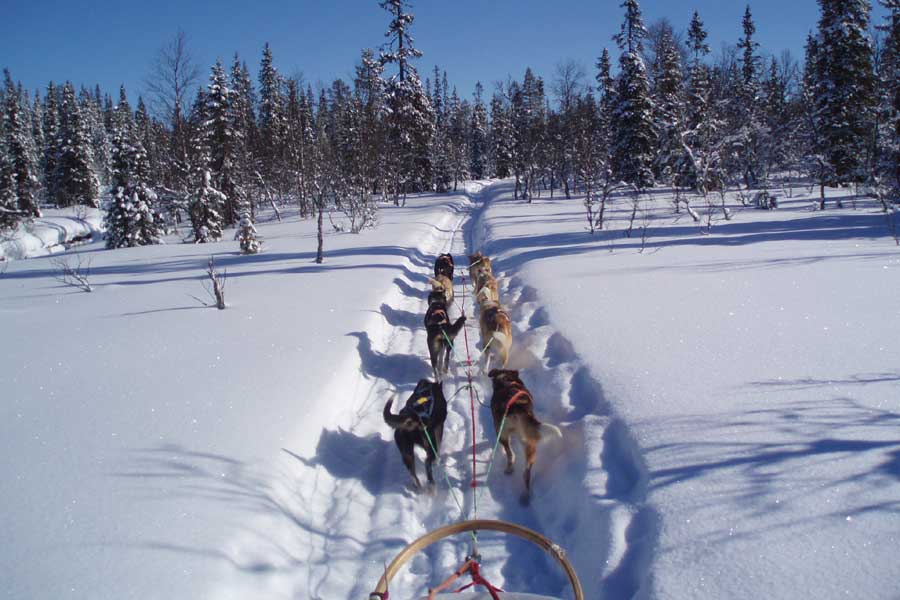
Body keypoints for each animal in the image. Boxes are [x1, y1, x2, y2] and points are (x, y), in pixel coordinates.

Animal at [488, 370, 560, 502]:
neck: (506, 381)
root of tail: (516, 408)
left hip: (502, 433)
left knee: (510, 453)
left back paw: (510, 468)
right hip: (529, 444)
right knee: (526, 473)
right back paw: (525, 496)